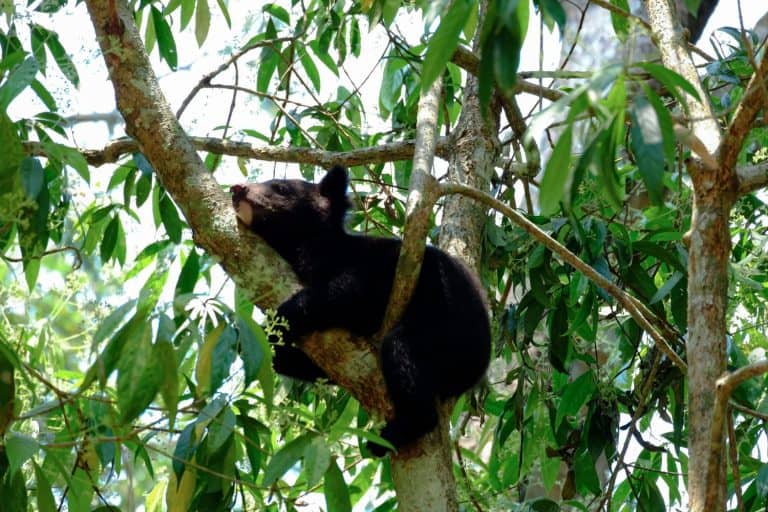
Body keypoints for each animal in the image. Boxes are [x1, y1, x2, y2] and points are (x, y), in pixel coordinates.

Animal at [230, 165, 491, 456]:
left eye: (281, 188)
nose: (237, 188)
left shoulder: (378, 264)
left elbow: (349, 290)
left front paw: (281, 317)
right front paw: (247, 337)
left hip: (445, 330)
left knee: (400, 349)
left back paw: (391, 435)